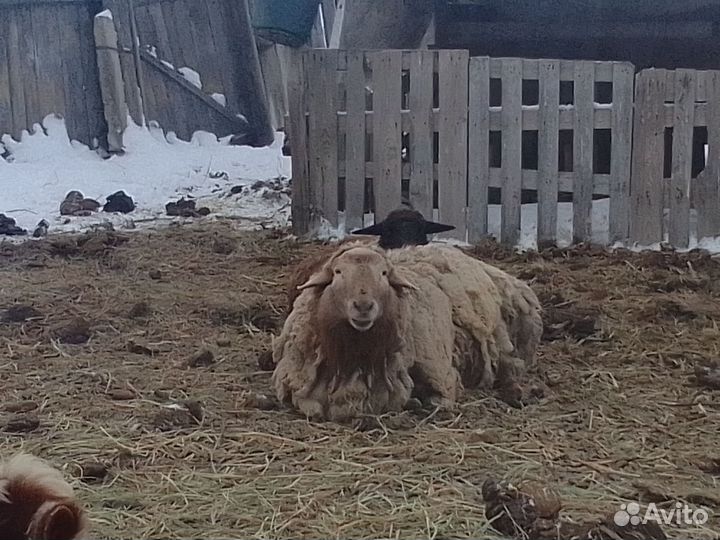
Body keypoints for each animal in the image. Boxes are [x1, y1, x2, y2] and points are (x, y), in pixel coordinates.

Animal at [270, 242, 535, 421]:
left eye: (384, 274)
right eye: (338, 272)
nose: (363, 306)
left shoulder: (441, 376)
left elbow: (440, 400)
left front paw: (418, 402)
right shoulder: (302, 389)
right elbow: (313, 409)